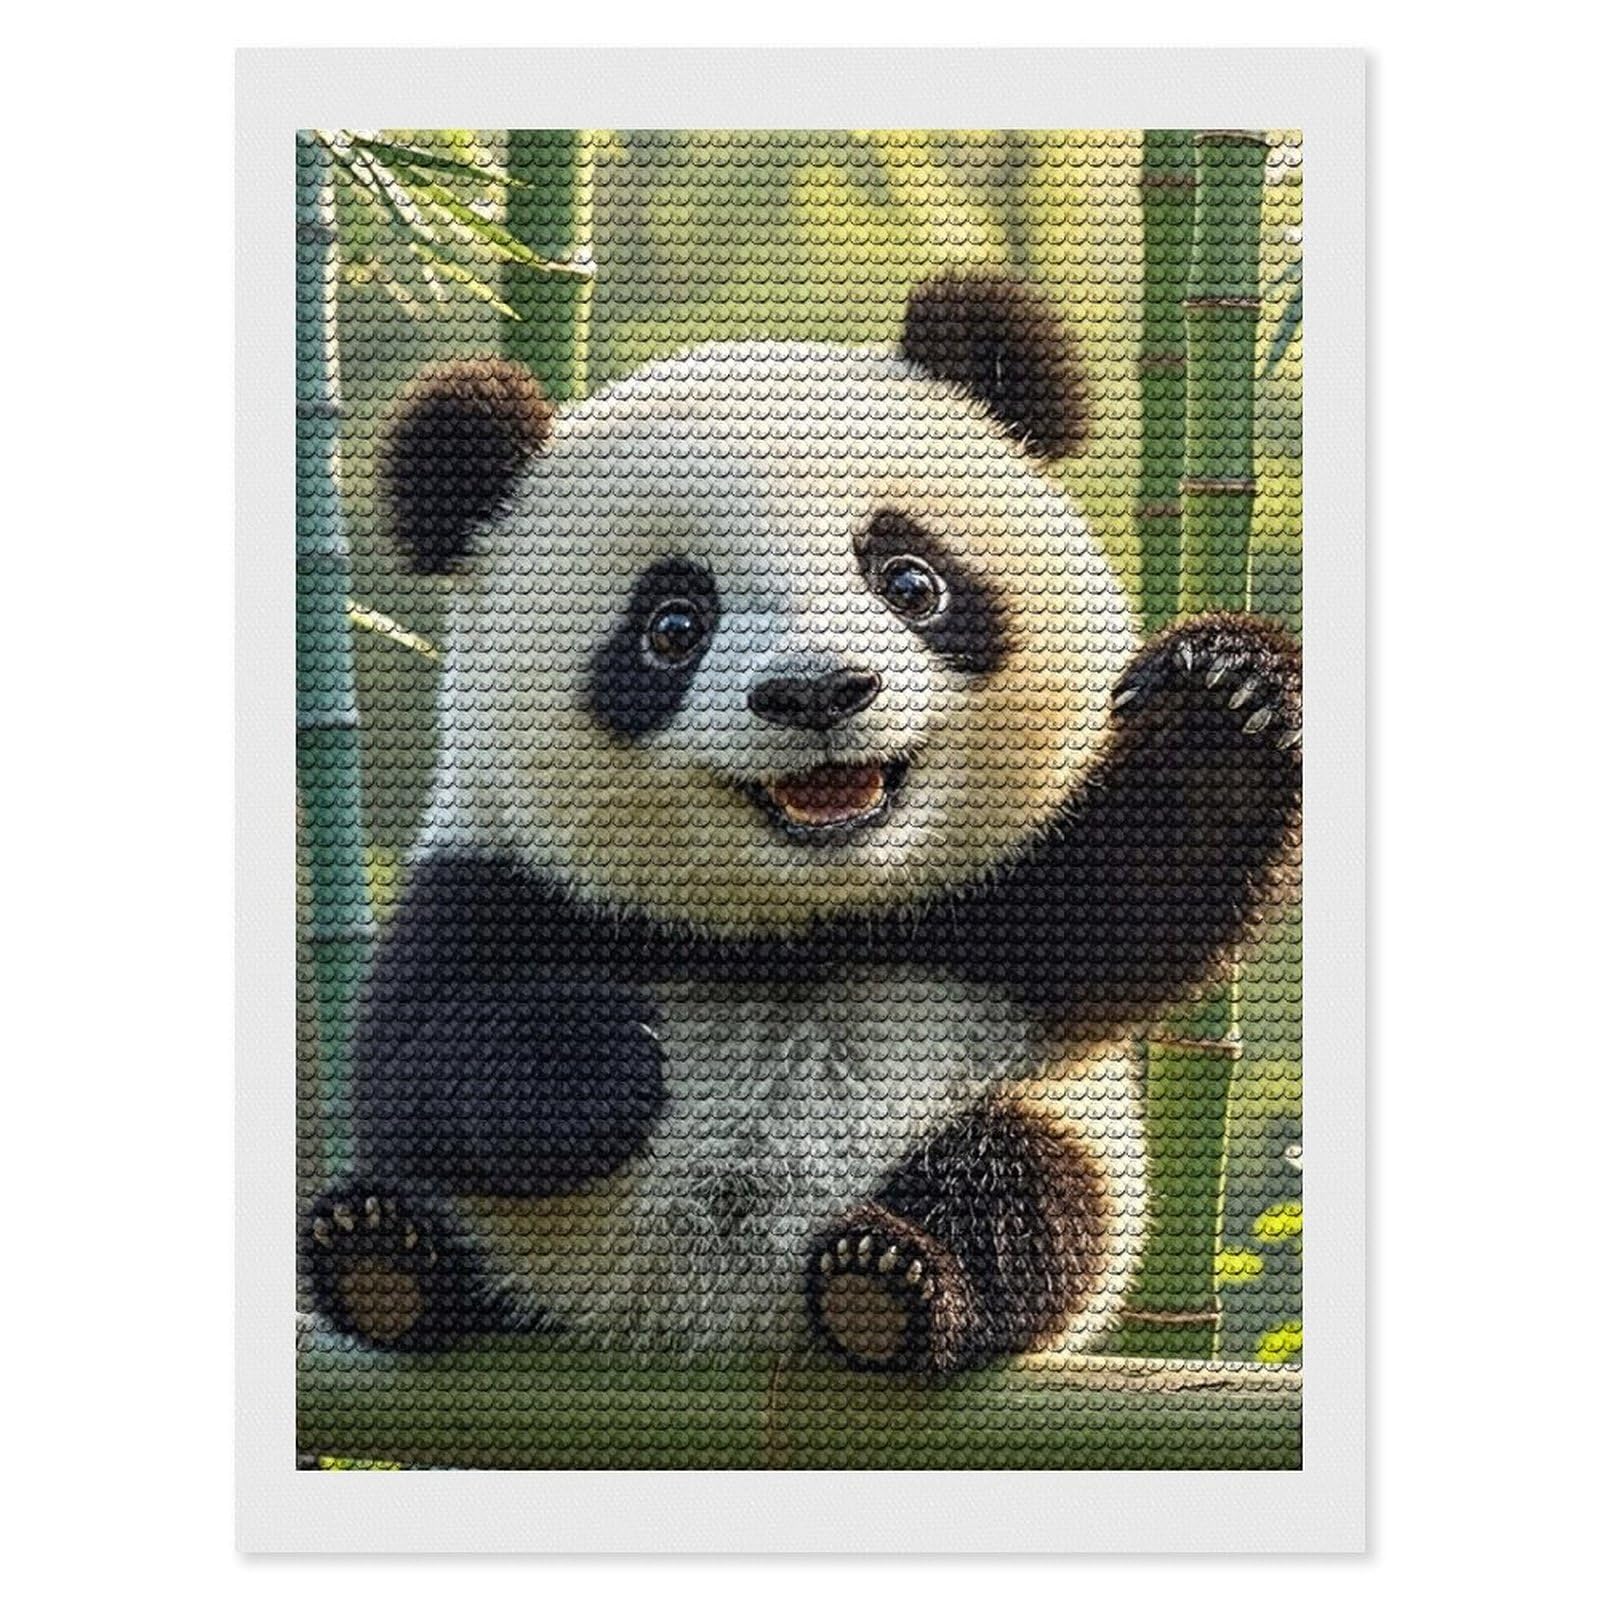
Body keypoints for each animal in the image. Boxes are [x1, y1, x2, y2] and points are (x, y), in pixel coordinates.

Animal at [305, 274, 1302, 1374]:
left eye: (909, 579)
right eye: (672, 626)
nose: (817, 692)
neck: (803, 921)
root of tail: (727, 1319)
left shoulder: (1003, 894)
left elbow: (1144, 884)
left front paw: (1228, 691)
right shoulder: (506, 877)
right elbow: (406, 1057)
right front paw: (592, 1063)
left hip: (1040, 1138)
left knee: (1025, 1189)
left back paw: (891, 1279)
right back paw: (386, 1260)